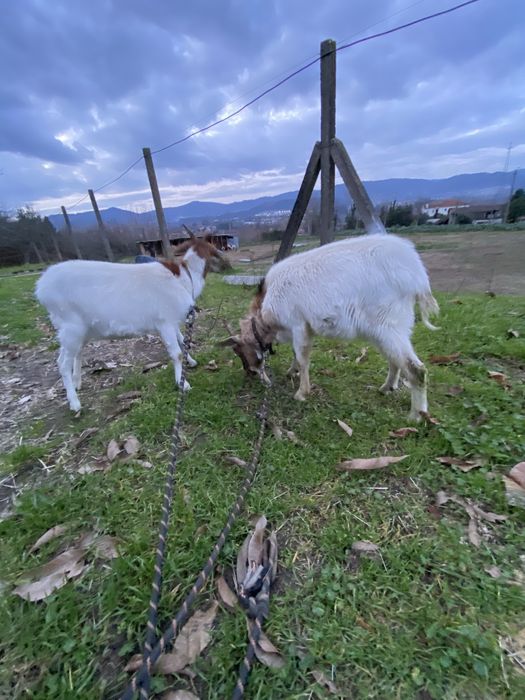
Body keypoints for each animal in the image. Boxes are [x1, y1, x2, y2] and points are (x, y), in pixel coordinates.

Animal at [36, 238, 229, 412]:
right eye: (214, 251)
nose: (226, 266)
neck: (183, 278)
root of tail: (41, 287)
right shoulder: (165, 321)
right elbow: (176, 354)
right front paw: (183, 383)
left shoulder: (172, 320)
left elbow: (183, 340)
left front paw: (192, 361)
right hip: (71, 325)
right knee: (62, 362)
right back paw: (74, 403)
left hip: (80, 328)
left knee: (76, 353)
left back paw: (77, 383)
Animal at [223, 234, 439, 421]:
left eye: (240, 352)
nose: (250, 373)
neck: (266, 303)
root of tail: (417, 273)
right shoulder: (302, 328)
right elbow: (295, 353)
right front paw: (292, 371)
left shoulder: (298, 323)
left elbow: (302, 357)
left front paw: (301, 392)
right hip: (384, 330)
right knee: (394, 359)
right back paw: (387, 387)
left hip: (389, 324)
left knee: (416, 369)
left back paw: (416, 416)